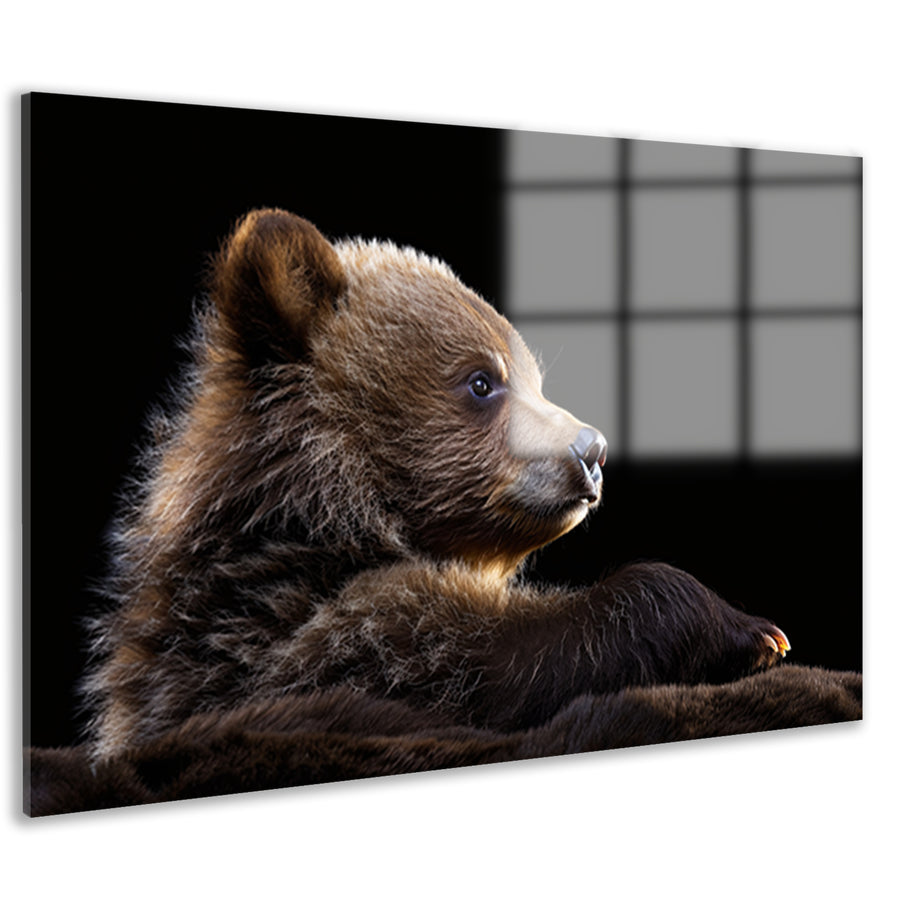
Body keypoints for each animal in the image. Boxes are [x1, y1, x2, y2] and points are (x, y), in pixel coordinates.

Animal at [83, 208, 790, 760]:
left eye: (532, 376)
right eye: (482, 381)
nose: (592, 451)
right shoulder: (288, 644)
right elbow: (474, 660)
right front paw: (749, 630)